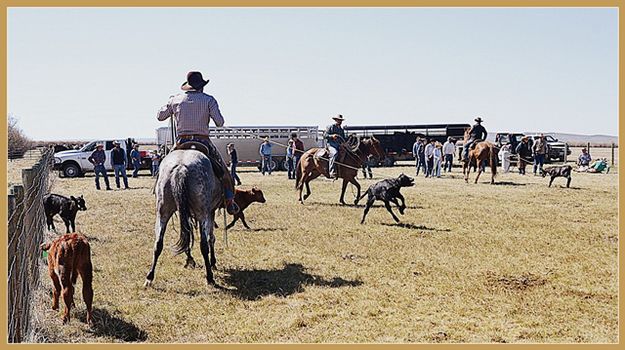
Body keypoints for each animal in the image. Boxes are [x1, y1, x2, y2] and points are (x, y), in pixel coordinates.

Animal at [144, 149, 222, 286]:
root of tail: (180, 168)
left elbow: (187, 234)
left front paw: (189, 260)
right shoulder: (210, 212)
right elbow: (210, 238)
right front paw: (212, 262)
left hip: (163, 213)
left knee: (158, 243)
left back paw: (149, 276)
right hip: (202, 214)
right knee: (204, 245)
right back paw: (210, 277)